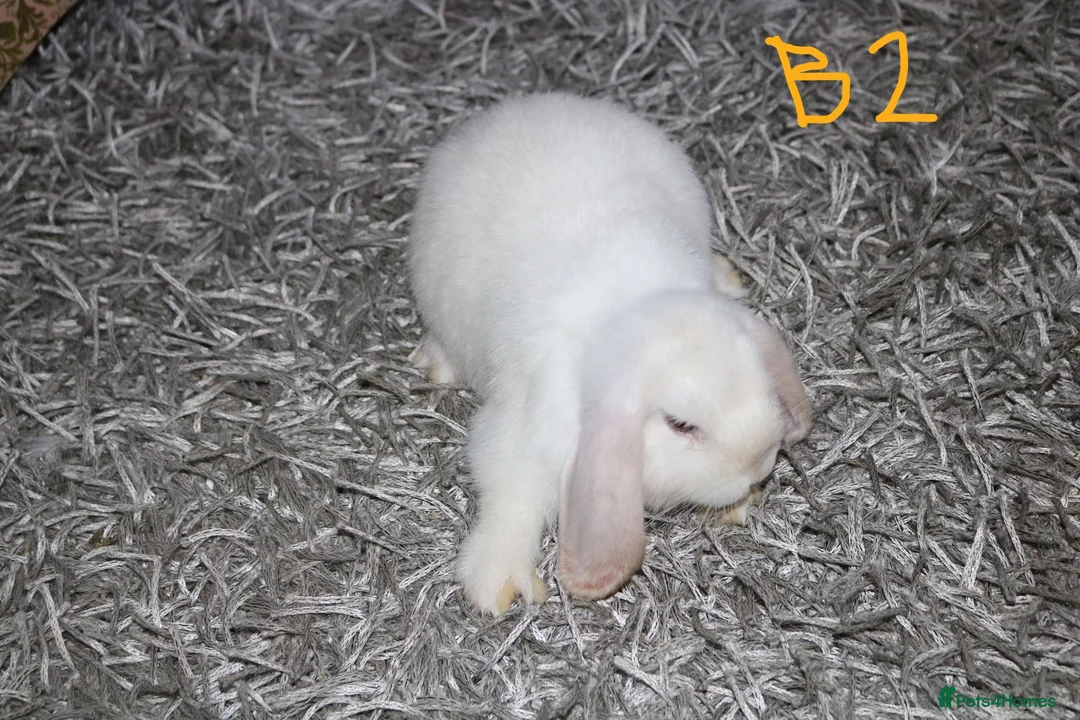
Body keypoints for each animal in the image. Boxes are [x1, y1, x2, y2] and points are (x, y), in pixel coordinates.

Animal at [408, 92, 811, 615]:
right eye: (680, 425)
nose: (758, 469)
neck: (629, 311)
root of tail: (514, 109)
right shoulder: (520, 437)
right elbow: (510, 497)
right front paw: (499, 585)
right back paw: (438, 364)